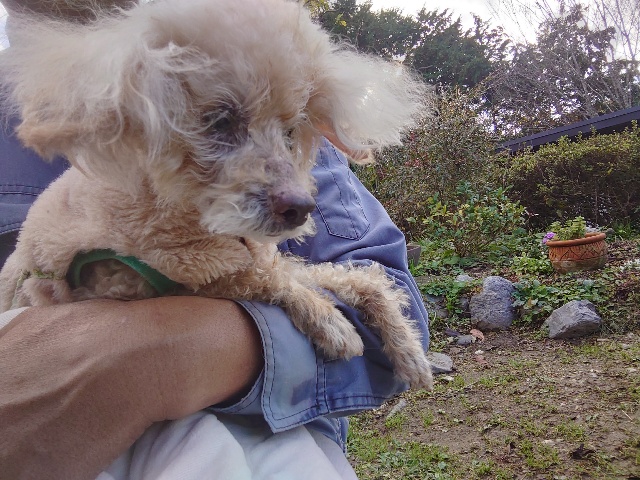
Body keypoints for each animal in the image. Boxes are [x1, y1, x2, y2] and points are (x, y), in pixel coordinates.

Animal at [0, 0, 432, 388]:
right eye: (220, 121)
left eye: (290, 132)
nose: (300, 207)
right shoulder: (135, 281)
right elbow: (258, 280)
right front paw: (329, 321)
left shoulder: (255, 256)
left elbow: (344, 277)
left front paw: (408, 349)